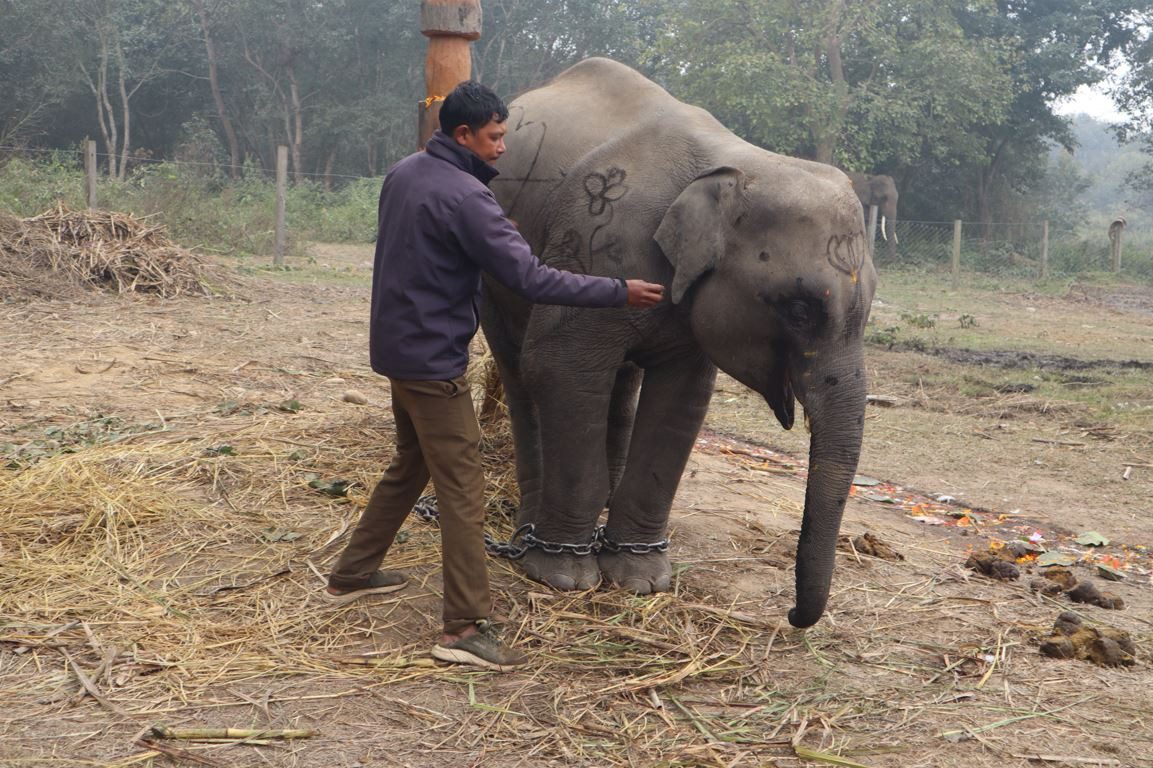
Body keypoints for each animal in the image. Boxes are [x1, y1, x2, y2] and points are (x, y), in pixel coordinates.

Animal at [484, 56, 871, 627]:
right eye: (800, 309)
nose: (792, 615)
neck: (736, 160)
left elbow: (680, 400)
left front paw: (640, 581)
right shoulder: (593, 243)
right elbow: (558, 368)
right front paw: (567, 578)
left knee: (620, 382)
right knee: (520, 370)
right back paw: (531, 532)